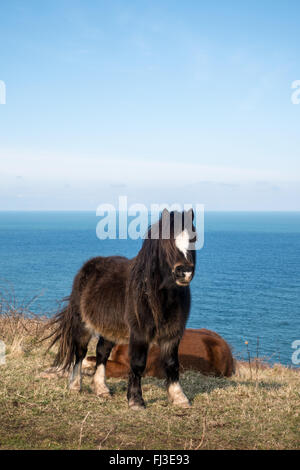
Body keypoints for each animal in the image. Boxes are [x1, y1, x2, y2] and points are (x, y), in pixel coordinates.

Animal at [47, 208, 197, 408]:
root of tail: (87, 267)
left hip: (110, 329)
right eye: (166, 241)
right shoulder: (139, 333)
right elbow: (138, 363)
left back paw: (101, 388)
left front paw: (179, 397)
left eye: (194, 238)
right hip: (83, 324)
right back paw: (75, 385)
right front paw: (136, 400)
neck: (158, 295)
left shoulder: (173, 334)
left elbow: (172, 363)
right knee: (80, 352)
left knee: (102, 352)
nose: (184, 272)